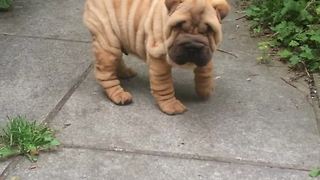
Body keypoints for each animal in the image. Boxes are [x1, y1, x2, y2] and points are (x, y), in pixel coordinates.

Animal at [83, 0, 230, 114]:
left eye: (209, 30)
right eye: (178, 27)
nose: (193, 46)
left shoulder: (207, 52)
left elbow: (206, 70)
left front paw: (205, 89)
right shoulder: (158, 56)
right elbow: (164, 84)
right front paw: (171, 105)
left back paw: (125, 72)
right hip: (108, 42)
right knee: (105, 75)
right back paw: (119, 94)